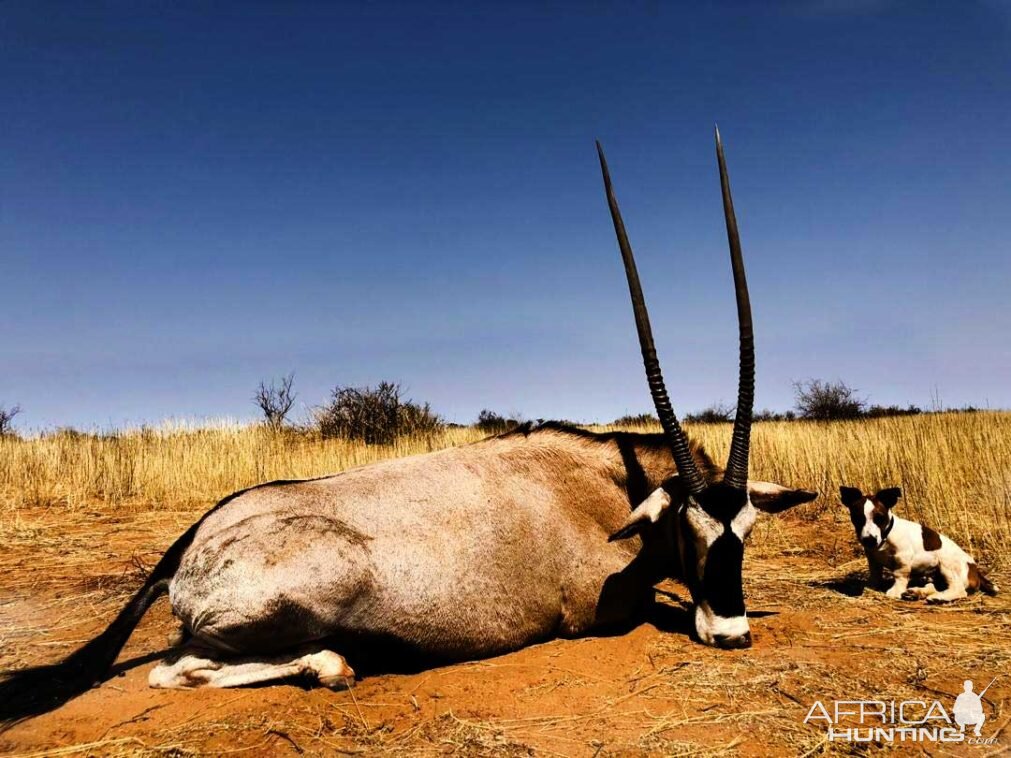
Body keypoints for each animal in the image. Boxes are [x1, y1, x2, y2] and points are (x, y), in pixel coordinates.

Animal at [841, 487, 998, 606]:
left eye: (879, 518)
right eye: (857, 518)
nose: (869, 540)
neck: (886, 536)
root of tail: (975, 569)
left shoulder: (902, 558)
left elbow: (900, 575)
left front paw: (895, 591)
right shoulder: (873, 559)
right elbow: (874, 575)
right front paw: (871, 587)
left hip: (946, 565)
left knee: (959, 589)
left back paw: (939, 597)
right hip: (934, 576)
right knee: (934, 586)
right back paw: (917, 592)